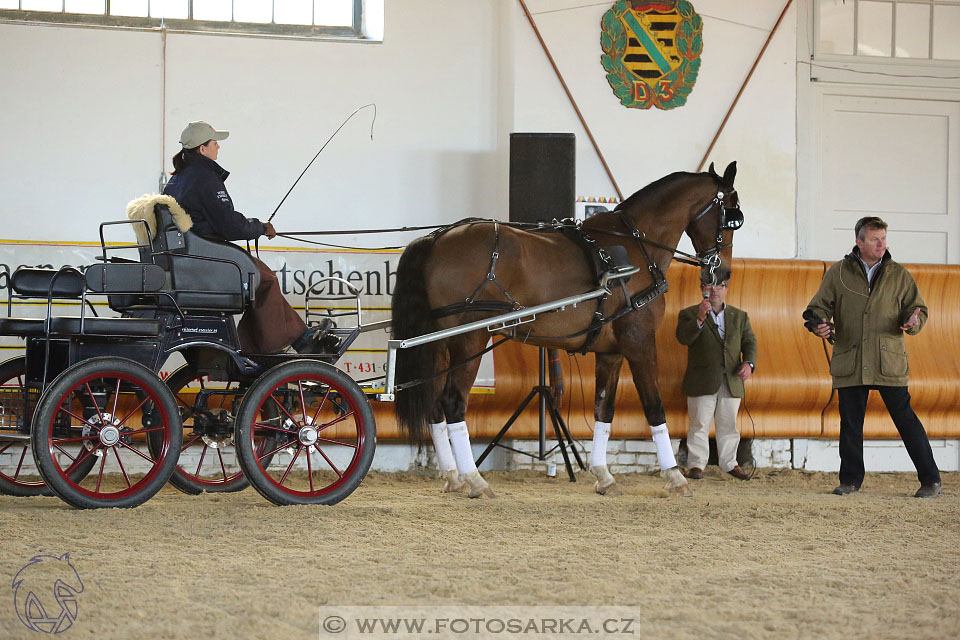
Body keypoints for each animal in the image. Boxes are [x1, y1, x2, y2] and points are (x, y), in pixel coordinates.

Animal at [390, 161, 744, 500]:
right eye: (731, 216)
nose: (723, 273)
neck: (635, 245)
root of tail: (435, 239)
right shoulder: (639, 342)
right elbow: (654, 407)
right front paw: (675, 477)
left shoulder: (611, 352)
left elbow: (604, 409)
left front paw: (603, 476)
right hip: (469, 339)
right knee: (452, 403)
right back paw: (475, 481)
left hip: (438, 344)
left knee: (434, 405)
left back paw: (453, 477)